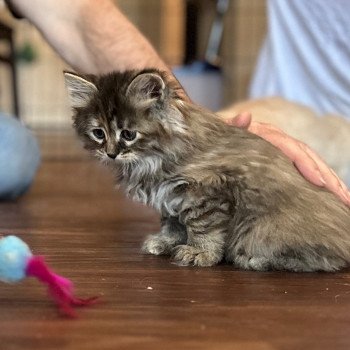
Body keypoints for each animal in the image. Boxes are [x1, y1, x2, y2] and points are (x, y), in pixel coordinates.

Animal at [63, 67, 350, 270]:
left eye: (128, 134)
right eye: (99, 133)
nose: (111, 153)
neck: (152, 159)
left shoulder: (207, 191)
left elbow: (204, 228)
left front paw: (200, 252)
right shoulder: (170, 197)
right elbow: (173, 223)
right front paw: (166, 241)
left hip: (261, 227)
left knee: (324, 259)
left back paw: (253, 260)